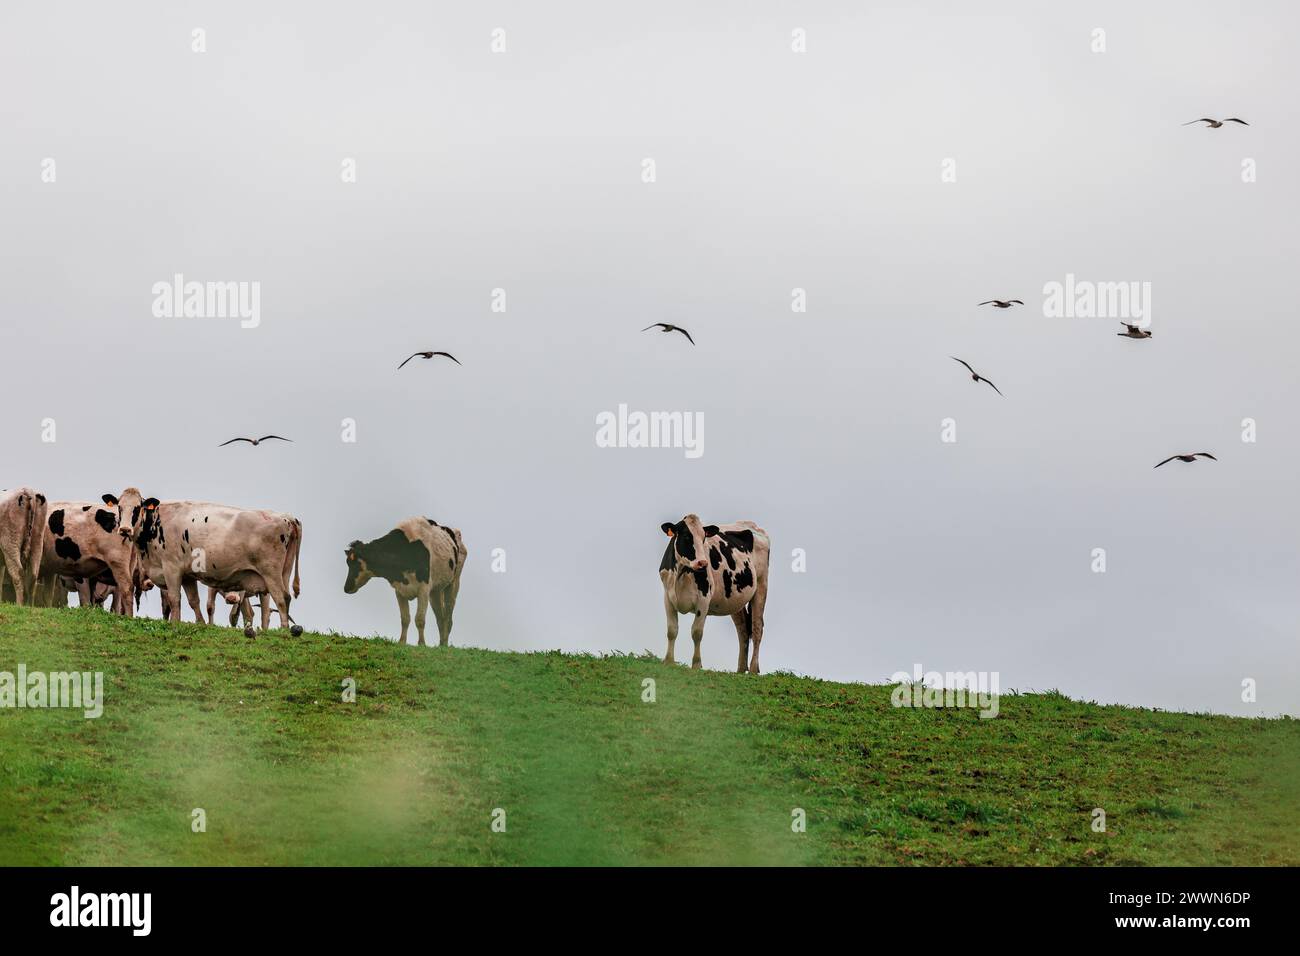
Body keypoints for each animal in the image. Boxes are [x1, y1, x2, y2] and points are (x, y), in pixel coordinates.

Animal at [138, 502, 302, 634]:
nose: (231, 597)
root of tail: (287, 518)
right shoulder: (191, 577)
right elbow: (197, 602)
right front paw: (203, 624)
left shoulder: (172, 568)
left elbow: (175, 599)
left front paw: (175, 624)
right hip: (284, 572)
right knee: (281, 600)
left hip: (270, 573)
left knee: (279, 600)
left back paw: (283, 629)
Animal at [345, 515, 467, 650]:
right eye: (348, 563)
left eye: (356, 564)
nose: (346, 588)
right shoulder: (399, 589)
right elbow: (405, 618)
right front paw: (402, 642)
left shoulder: (424, 588)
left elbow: (419, 619)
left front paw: (421, 644)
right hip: (435, 590)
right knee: (440, 617)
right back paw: (441, 645)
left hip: (454, 582)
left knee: (448, 616)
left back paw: (445, 645)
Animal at [660, 515, 769, 671]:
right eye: (686, 536)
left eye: (703, 537)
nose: (703, 563)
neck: (681, 573)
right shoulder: (668, 598)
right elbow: (671, 630)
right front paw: (668, 661)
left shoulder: (703, 600)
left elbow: (697, 632)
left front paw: (696, 664)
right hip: (735, 599)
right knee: (742, 630)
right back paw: (741, 669)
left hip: (761, 586)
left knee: (757, 628)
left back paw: (754, 669)